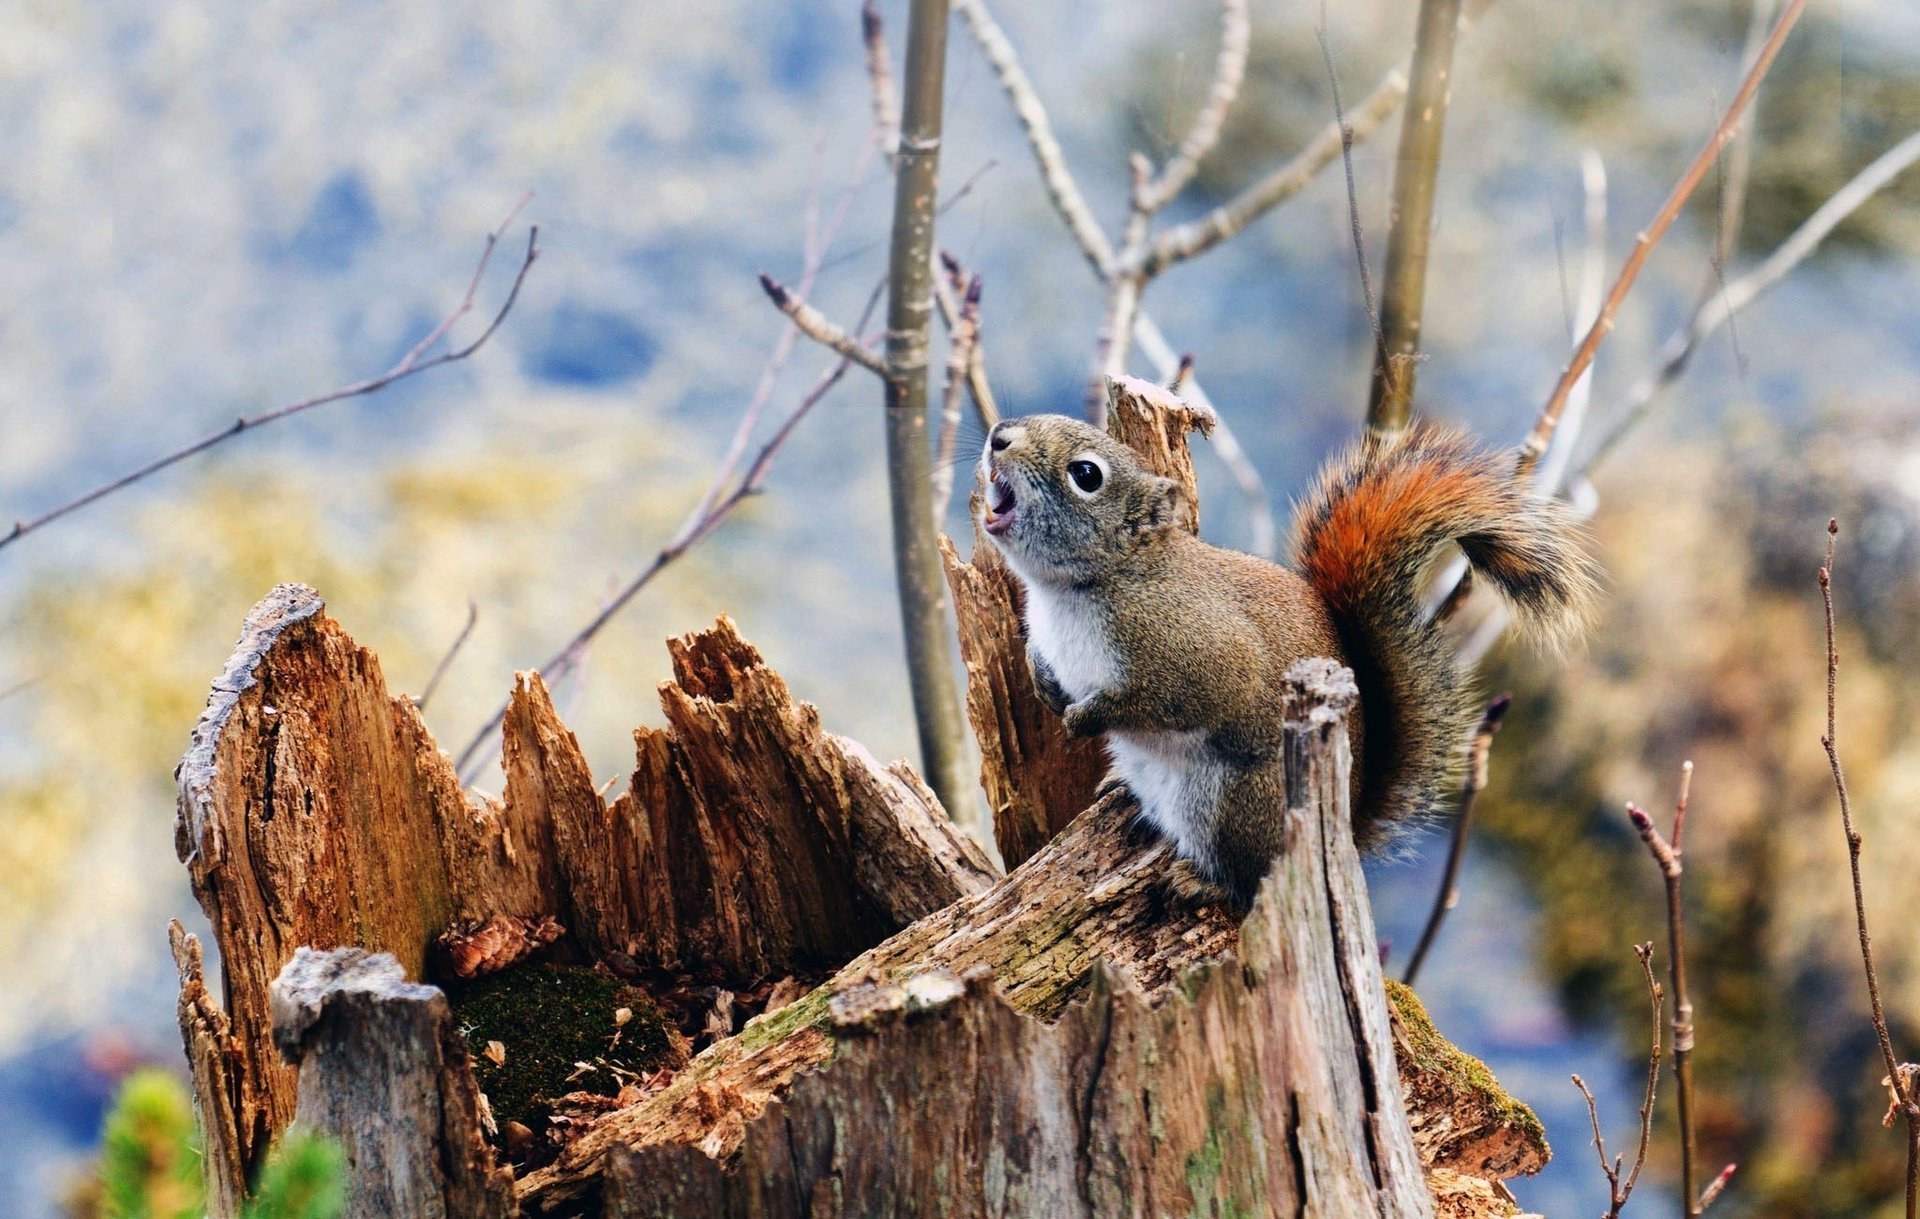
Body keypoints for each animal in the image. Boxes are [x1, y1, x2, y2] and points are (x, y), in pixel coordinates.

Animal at [978, 412, 1599, 907]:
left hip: (1236, 805)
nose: (998, 436)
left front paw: (1086, 716)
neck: (1075, 589)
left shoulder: (1195, 650)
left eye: (1086, 475)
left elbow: (1167, 700)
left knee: (1250, 879)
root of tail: (1344, 826)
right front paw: (1045, 683)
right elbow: (1044, 661)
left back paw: (1201, 883)